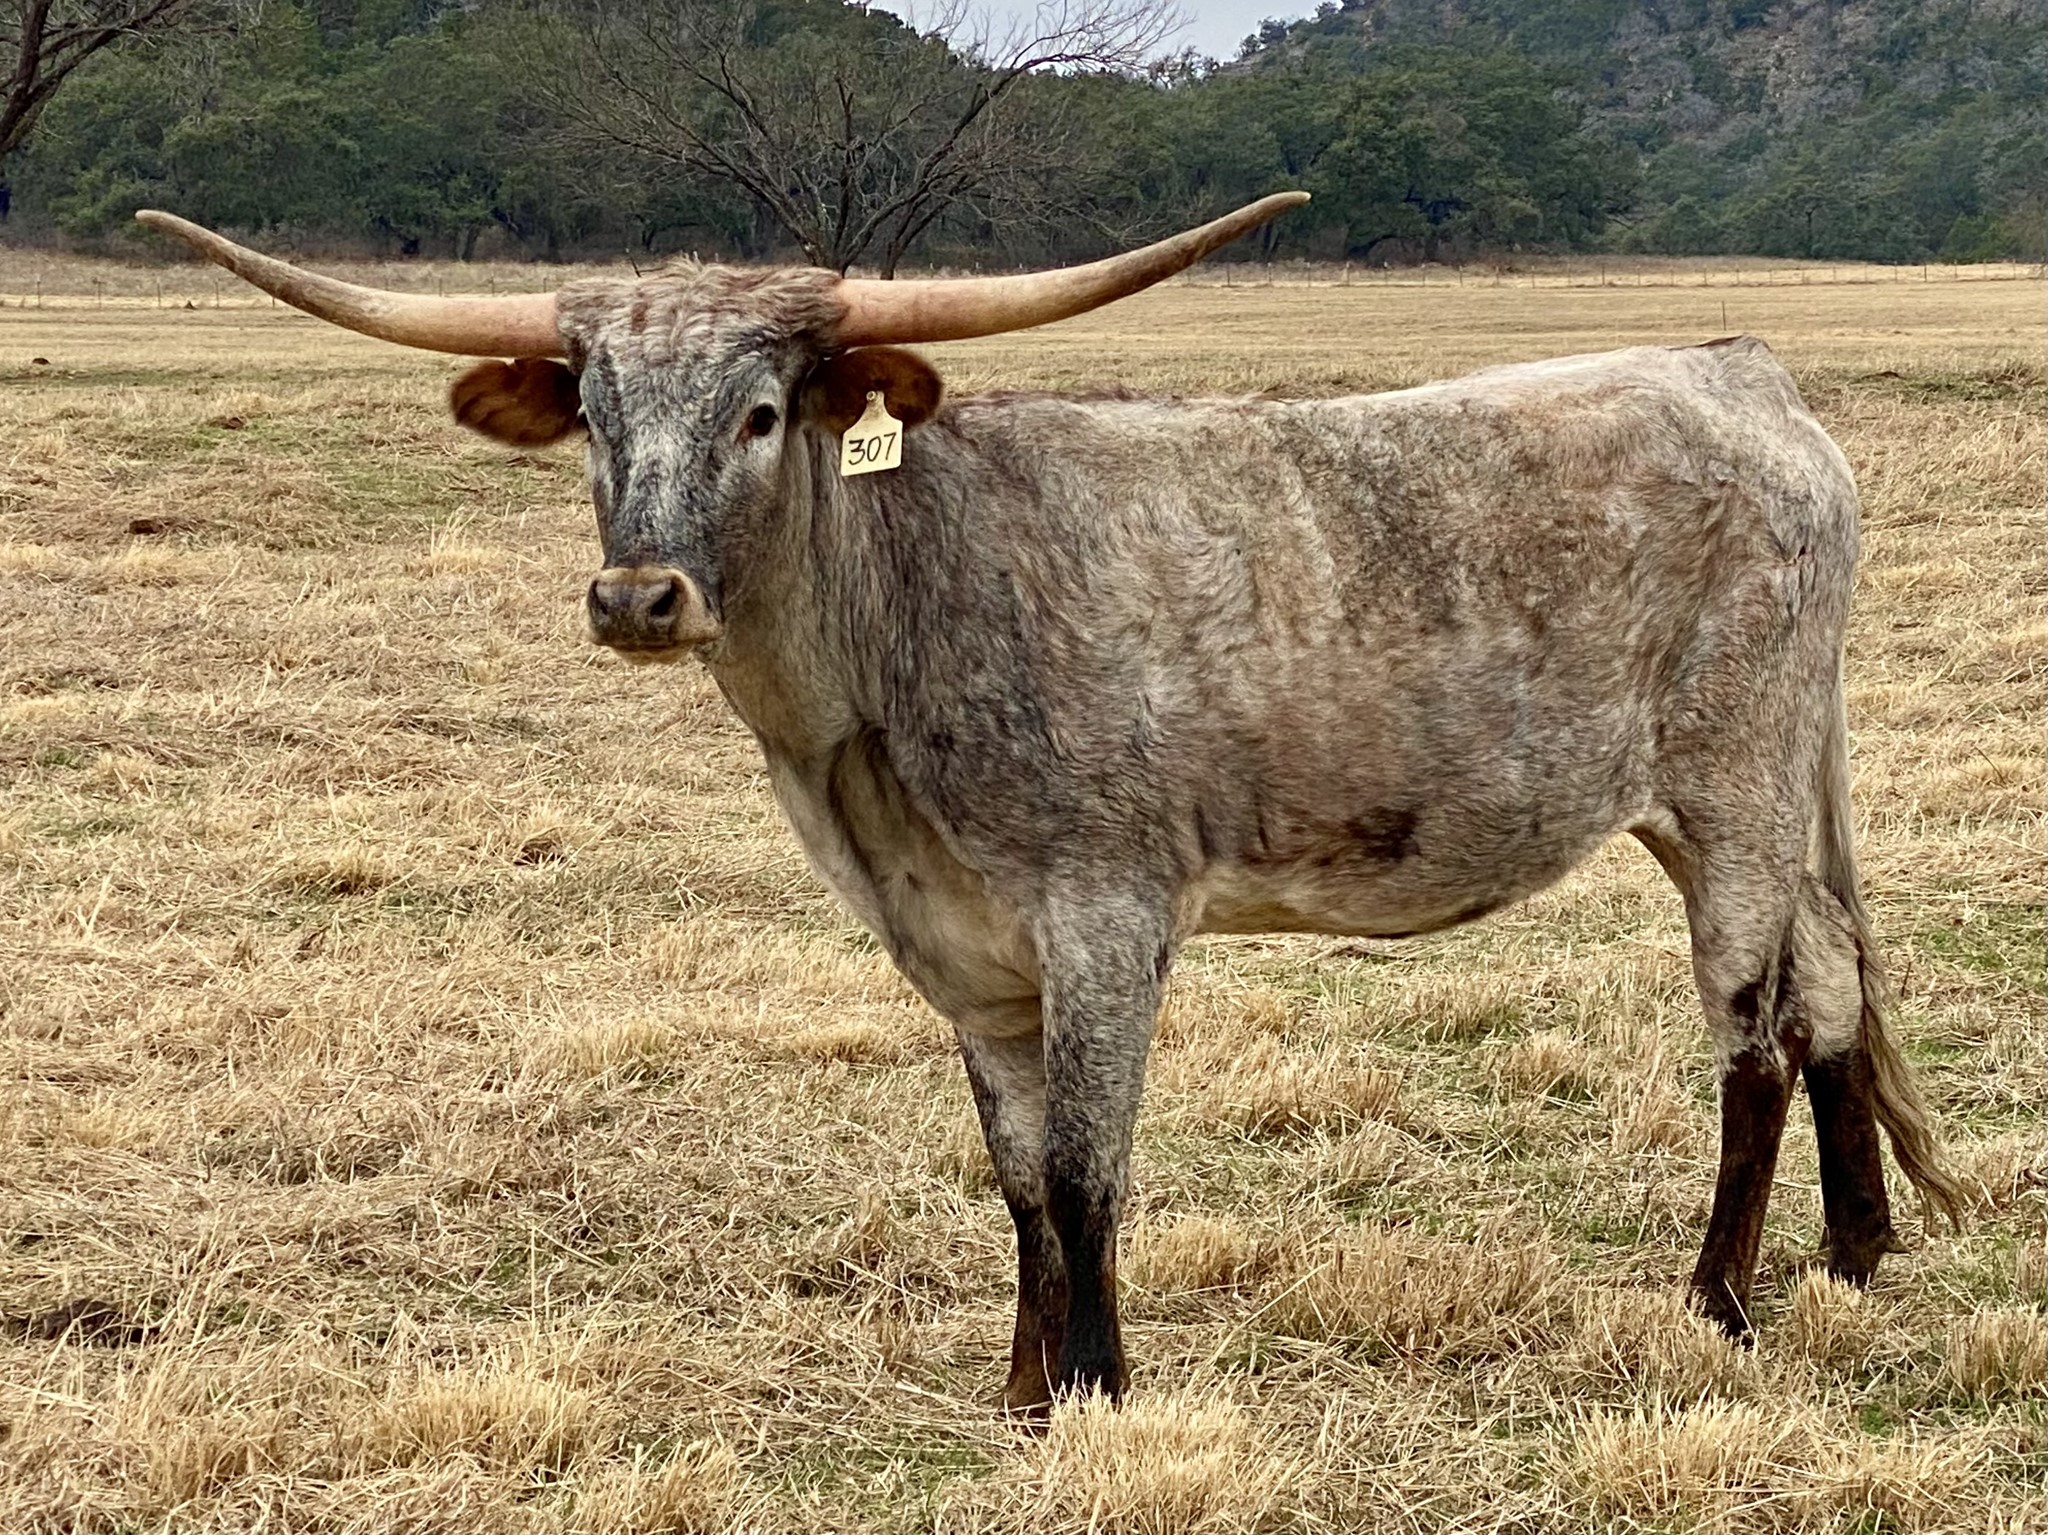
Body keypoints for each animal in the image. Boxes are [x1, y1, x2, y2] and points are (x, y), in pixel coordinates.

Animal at [137, 196, 1965, 1409]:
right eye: (592, 415)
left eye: (760, 411)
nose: (639, 597)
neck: (898, 630)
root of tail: (1741, 369)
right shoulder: (961, 954)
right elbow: (1015, 1174)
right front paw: (1020, 1389)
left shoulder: (1102, 917)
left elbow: (1089, 1167)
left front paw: (1093, 1385)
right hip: (1736, 803)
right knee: (1833, 990)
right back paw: (1855, 1253)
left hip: (1731, 794)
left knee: (1751, 1031)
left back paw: (1718, 1297)